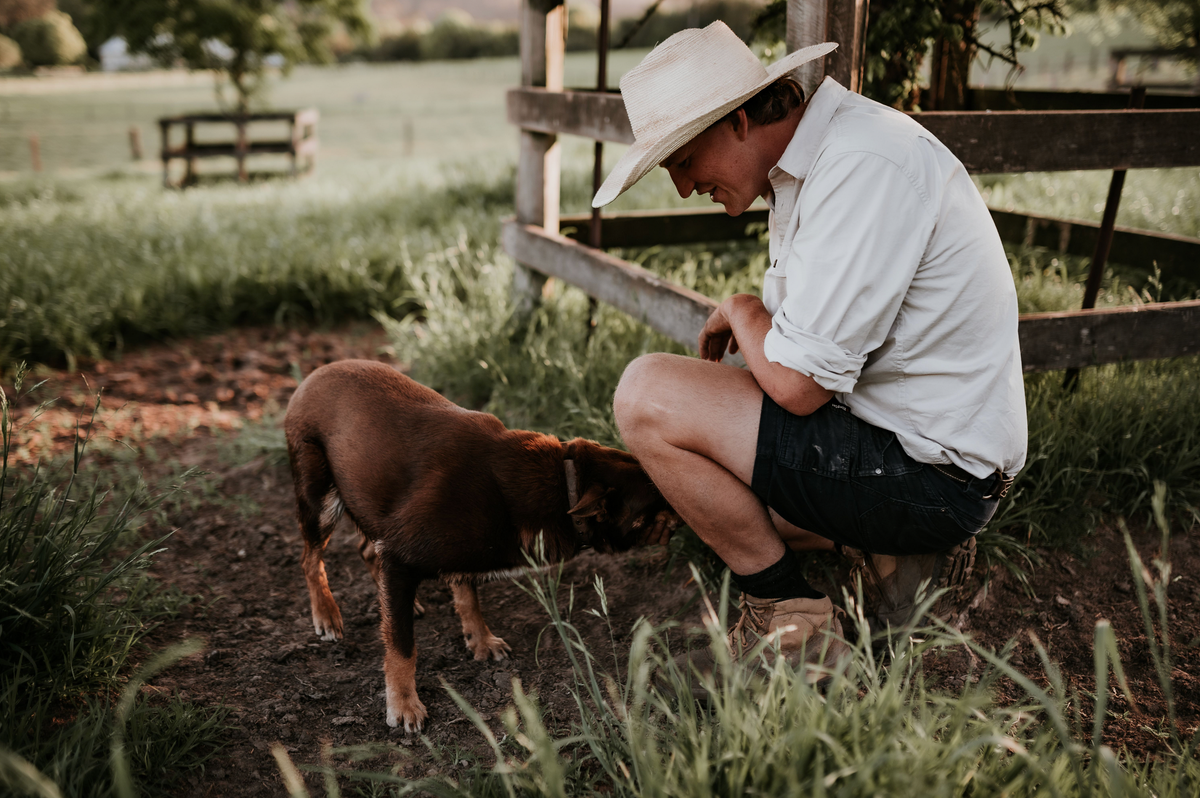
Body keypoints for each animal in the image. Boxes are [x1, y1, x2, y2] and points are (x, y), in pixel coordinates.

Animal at [279, 360, 676, 729]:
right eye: (658, 496)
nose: (680, 513)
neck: (565, 483)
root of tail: (315, 374)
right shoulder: (400, 557)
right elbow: (402, 646)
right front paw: (404, 704)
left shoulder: (446, 556)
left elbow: (468, 598)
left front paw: (480, 640)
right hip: (320, 499)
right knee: (310, 560)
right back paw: (326, 614)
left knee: (365, 552)